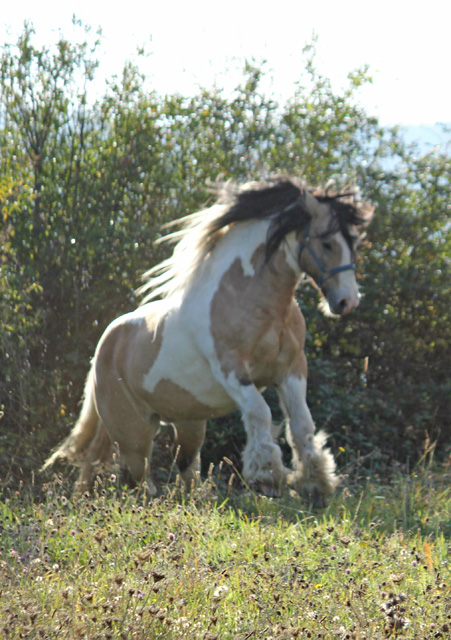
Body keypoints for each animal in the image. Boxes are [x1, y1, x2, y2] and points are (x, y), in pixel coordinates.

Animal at [43, 178, 374, 502]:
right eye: (327, 242)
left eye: (354, 243)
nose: (347, 301)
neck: (253, 303)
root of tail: (104, 347)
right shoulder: (232, 372)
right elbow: (261, 413)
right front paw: (266, 478)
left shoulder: (292, 370)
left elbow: (302, 425)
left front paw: (316, 484)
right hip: (133, 433)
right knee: (129, 476)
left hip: (188, 423)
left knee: (182, 467)